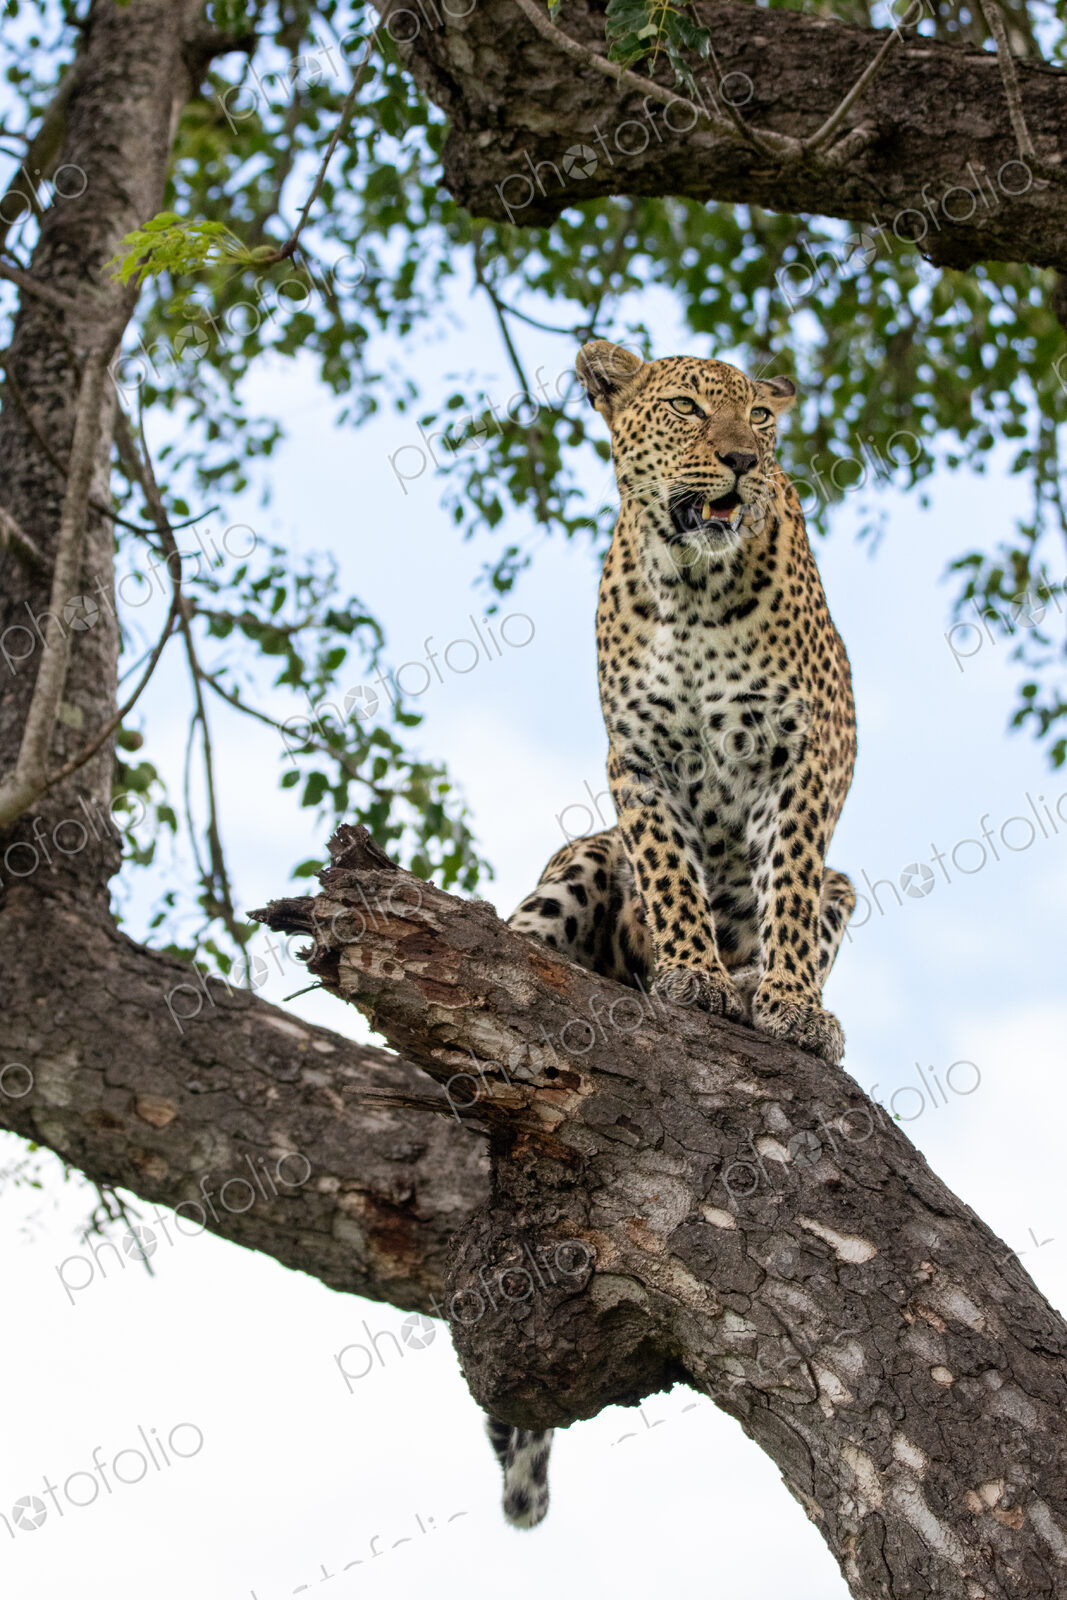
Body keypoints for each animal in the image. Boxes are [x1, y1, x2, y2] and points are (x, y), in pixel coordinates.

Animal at [487, 339, 858, 1529]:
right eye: (690, 407)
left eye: (761, 418)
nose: (741, 458)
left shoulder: (807, 750)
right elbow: (670, 872)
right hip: (572, 867)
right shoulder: (638, 767)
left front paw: (779, 1001)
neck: (694, 593)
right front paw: (692, 976)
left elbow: (784, 886)